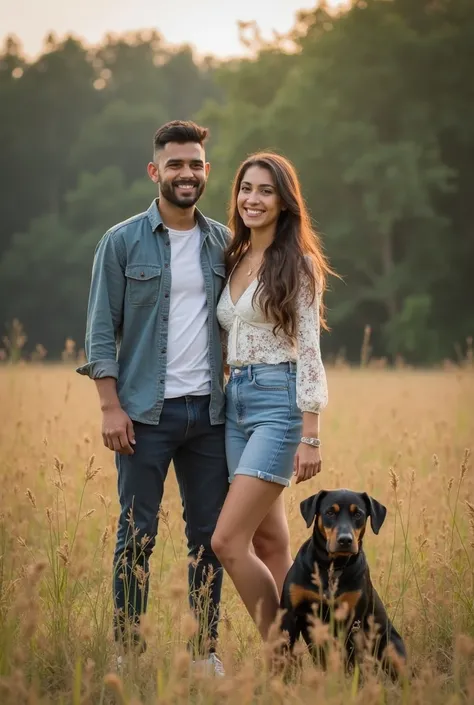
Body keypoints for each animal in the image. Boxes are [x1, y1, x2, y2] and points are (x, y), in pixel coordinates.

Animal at [278, 490, 408, 676]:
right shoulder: (290, 616)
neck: (331, 567)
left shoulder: (353, 621)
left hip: (391, 647)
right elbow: (286, 656)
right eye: (330, 512)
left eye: (358, 514)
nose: (345, 540)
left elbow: (351, 661)